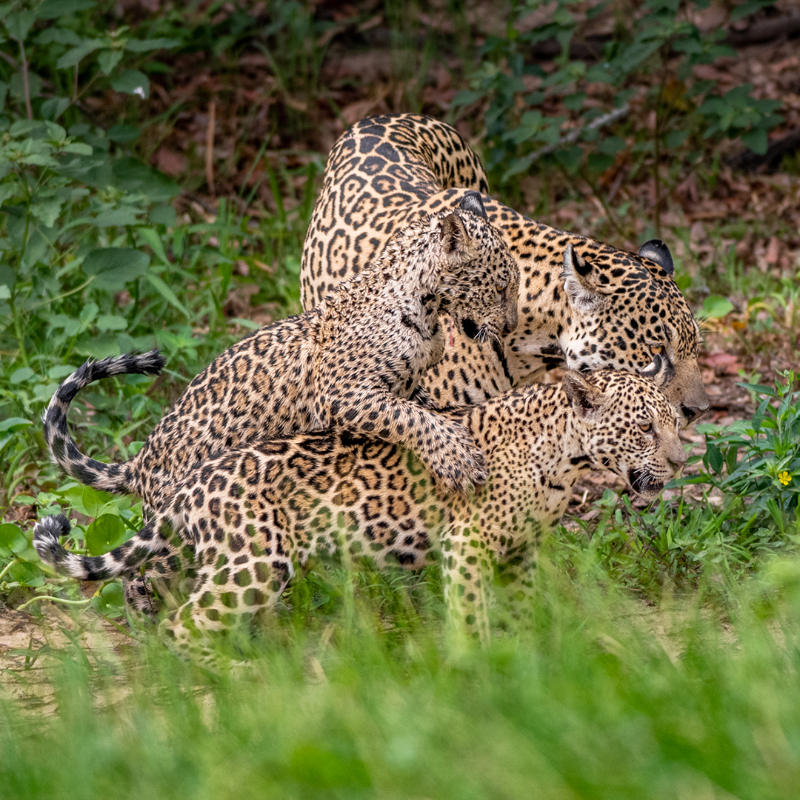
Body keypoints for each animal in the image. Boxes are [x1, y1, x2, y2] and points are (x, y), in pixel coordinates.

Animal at [35, 369, 687, 660]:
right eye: (642, 428)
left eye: (673, 420)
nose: (682, 460)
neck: (565, 458)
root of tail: (188, 483)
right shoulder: (468, 544)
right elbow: (470, 613)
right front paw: (477, 665)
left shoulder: (522, 551)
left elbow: (522, 609)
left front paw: (527, 657)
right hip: (255, 564)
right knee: (182, 624)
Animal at [44, 197, 519, 518]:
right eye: (500, 289)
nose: (513, 325)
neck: (428, 306)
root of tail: (140, 463)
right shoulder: (342, 394)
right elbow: (408, 418)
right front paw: (457, 460)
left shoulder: (406, 383)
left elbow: (421, 407)